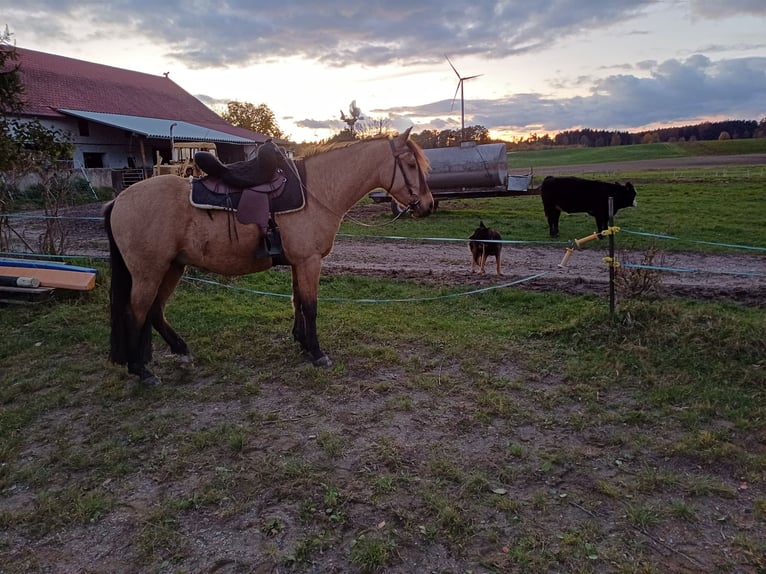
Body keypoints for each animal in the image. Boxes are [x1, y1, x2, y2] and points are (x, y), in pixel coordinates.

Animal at [104, 128, 433, 385]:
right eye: (409, 163)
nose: (427, 205)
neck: (316, 191)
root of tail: (119, 200)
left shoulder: (299, 262)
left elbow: (297, 301)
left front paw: (302, 343)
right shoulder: (309, 261)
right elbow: (310, 306)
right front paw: (317, 353)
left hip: (172, 267)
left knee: (155, 311)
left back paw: (178, 353)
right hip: (149, 272)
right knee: (136, 312)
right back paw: (142, 371)